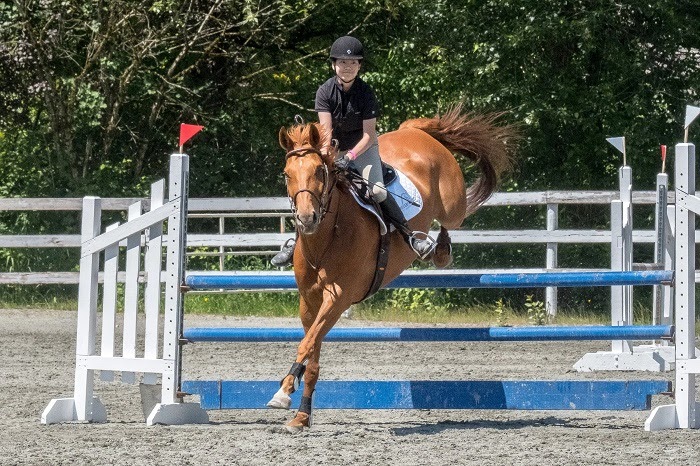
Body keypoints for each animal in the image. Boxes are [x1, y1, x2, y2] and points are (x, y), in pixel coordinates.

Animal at [267, 105, 514, 432]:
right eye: (287, 174)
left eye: (320, 171)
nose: (307, 219)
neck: (325, 239)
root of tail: (416, 131)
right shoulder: (309, 301)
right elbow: (313, 350)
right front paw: (301, 415)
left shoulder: (338, 297)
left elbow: (307, 345)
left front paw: (283, 392)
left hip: (452, 203)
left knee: (452, 219)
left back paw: (437, 250)